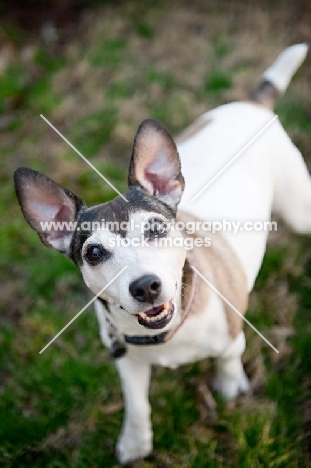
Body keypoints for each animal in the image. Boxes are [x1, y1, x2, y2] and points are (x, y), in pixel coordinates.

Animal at [14, 44, 311, 464]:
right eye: (94, 253)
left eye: (155, 229)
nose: (145, 286)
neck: (165, 336)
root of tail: (251, 104)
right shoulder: (126, 360)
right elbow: (137, 404)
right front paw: (135, 443)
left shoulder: (231, 334)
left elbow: (228, 356)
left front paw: (230, 384)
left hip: (300, 210)